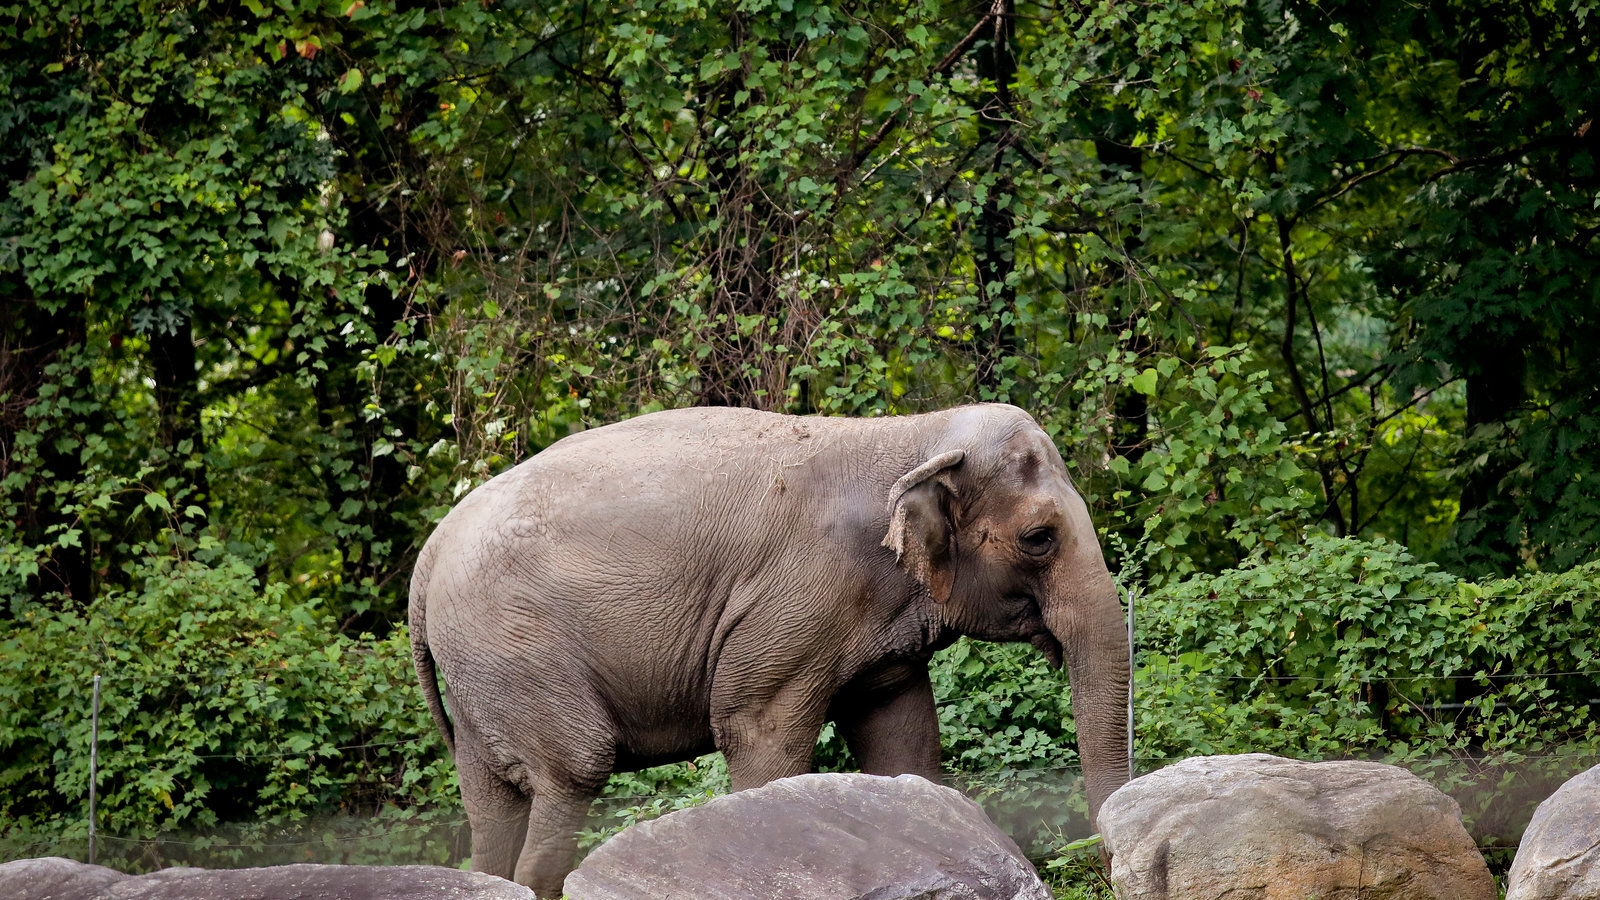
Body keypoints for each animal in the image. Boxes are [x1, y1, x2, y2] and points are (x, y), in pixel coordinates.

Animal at [409, 403, 1131, 896]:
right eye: (1039, 538)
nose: (1104, 867)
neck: (912, 434)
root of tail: (430, 553)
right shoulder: (795, 603)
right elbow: (759, 732)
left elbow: (904, 741)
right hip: (516, 648)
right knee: (572, 772)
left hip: (480, 673)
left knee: (491, 805)